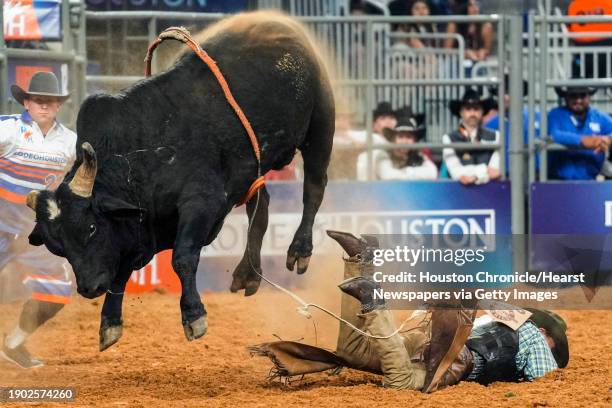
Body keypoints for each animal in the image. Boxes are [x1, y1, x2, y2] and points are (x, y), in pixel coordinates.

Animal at [25, 12, 334, 350]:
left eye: (91, 228)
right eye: (57, 246)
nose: (89, 288)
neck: (141, 151)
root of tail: (277, 22)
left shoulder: (201, 202)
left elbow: (183, 258)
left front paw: (194, 315)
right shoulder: (141, 226)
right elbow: (121, 269)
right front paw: (109, 322)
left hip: (321, 124)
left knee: (314, 189)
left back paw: (299, 250)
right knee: (261, 205)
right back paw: (247, 275)